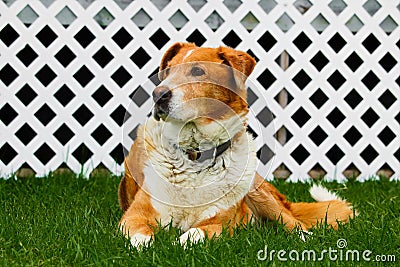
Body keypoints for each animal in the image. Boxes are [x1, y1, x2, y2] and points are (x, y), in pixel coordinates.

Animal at [117, 42, 354, 249]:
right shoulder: (135, 215)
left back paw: (305, 238)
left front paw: (177, 244)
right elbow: (140, 234)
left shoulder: (222, 223)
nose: (158, 95)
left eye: (197, 71)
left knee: (293, 222)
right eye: (166, 72)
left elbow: (195, 233)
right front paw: (145, 247)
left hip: (259, 191)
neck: (196, 156)